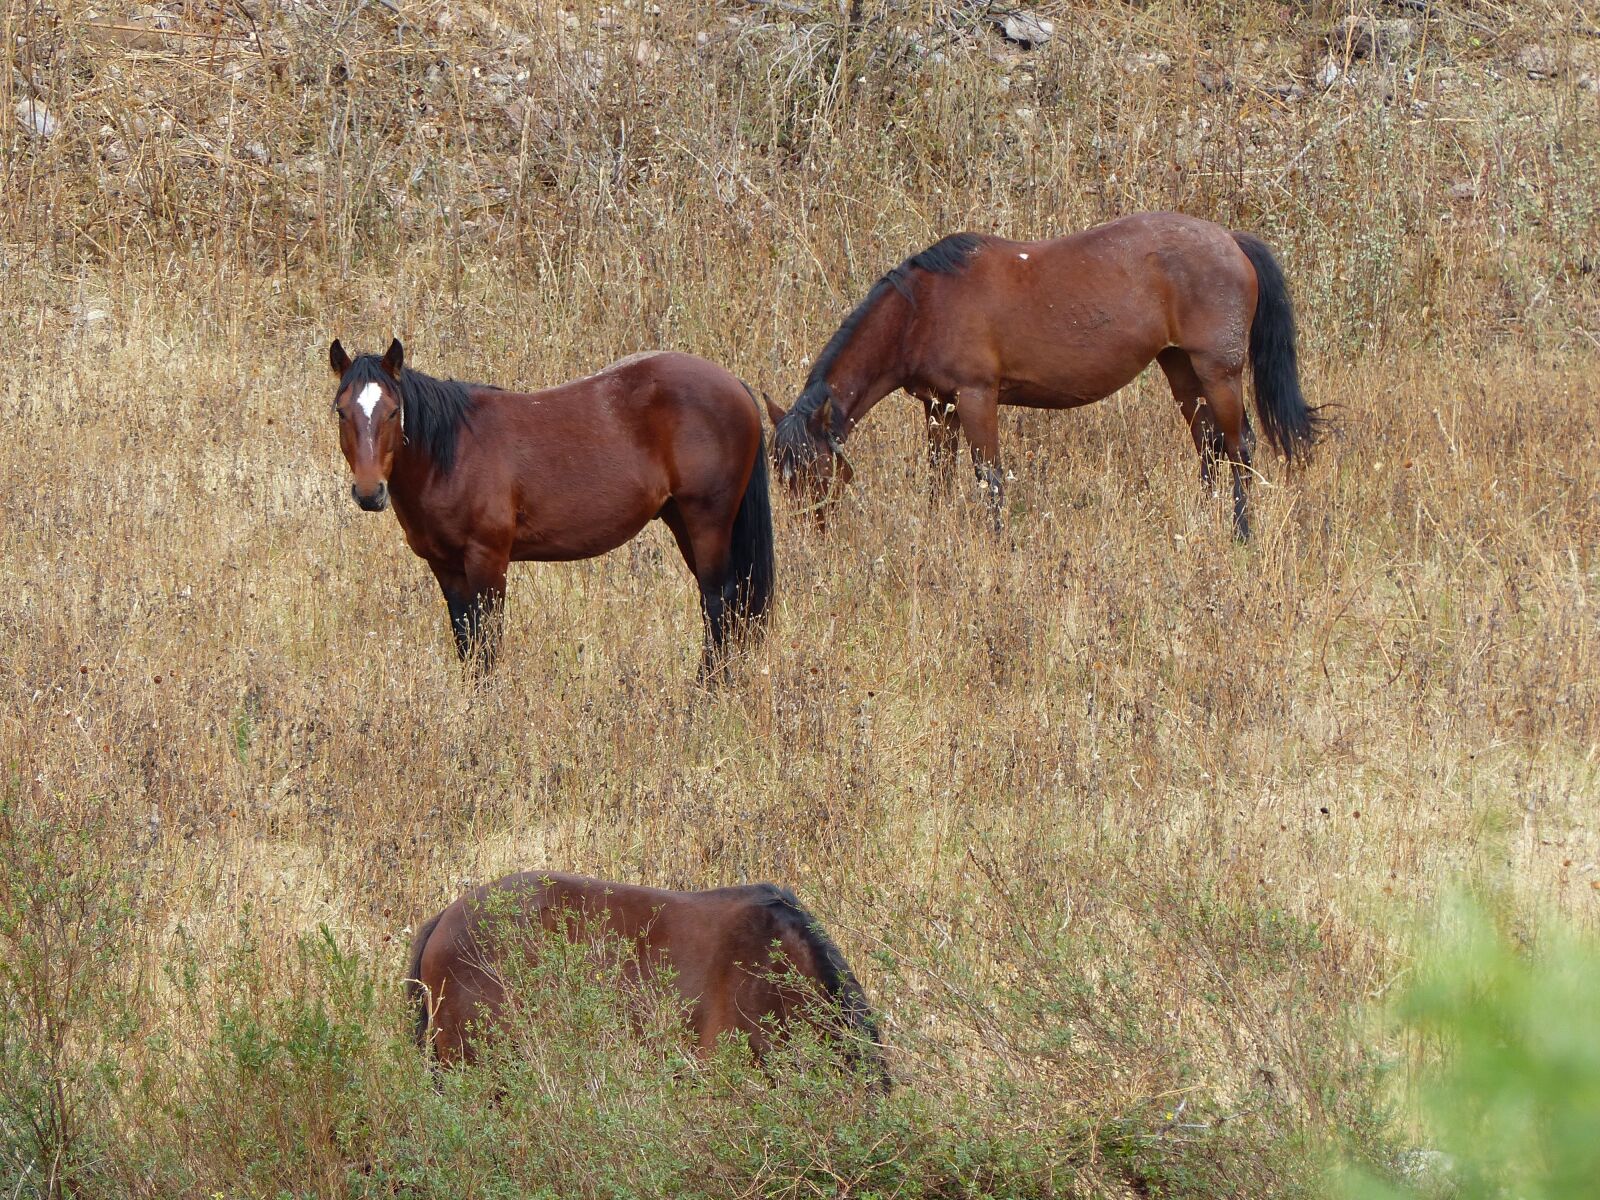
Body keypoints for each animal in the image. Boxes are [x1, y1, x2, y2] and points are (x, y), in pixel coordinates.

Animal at [326, 341, 774, 675]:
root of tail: (734, 384)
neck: (451, 454)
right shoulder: (446, 567)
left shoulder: (488, 560)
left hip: (707, 520)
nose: (369, 493)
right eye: (342, 412)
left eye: (393, 412)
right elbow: (466, 641)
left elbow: (488, 642)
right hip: (682, 520)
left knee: (719, 601)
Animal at [764, 212, 1321, 538]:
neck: (922, 309)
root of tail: (1231, 239)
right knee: (1208, 444)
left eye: (814, 471)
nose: (813, 532)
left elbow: (989, 479)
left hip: (1217, 371)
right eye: (781, 474)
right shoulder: (938, 407)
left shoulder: (976, 398)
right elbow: (938, 479)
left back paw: (1240, 534)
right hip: (1181, 368)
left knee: (1239, 445)